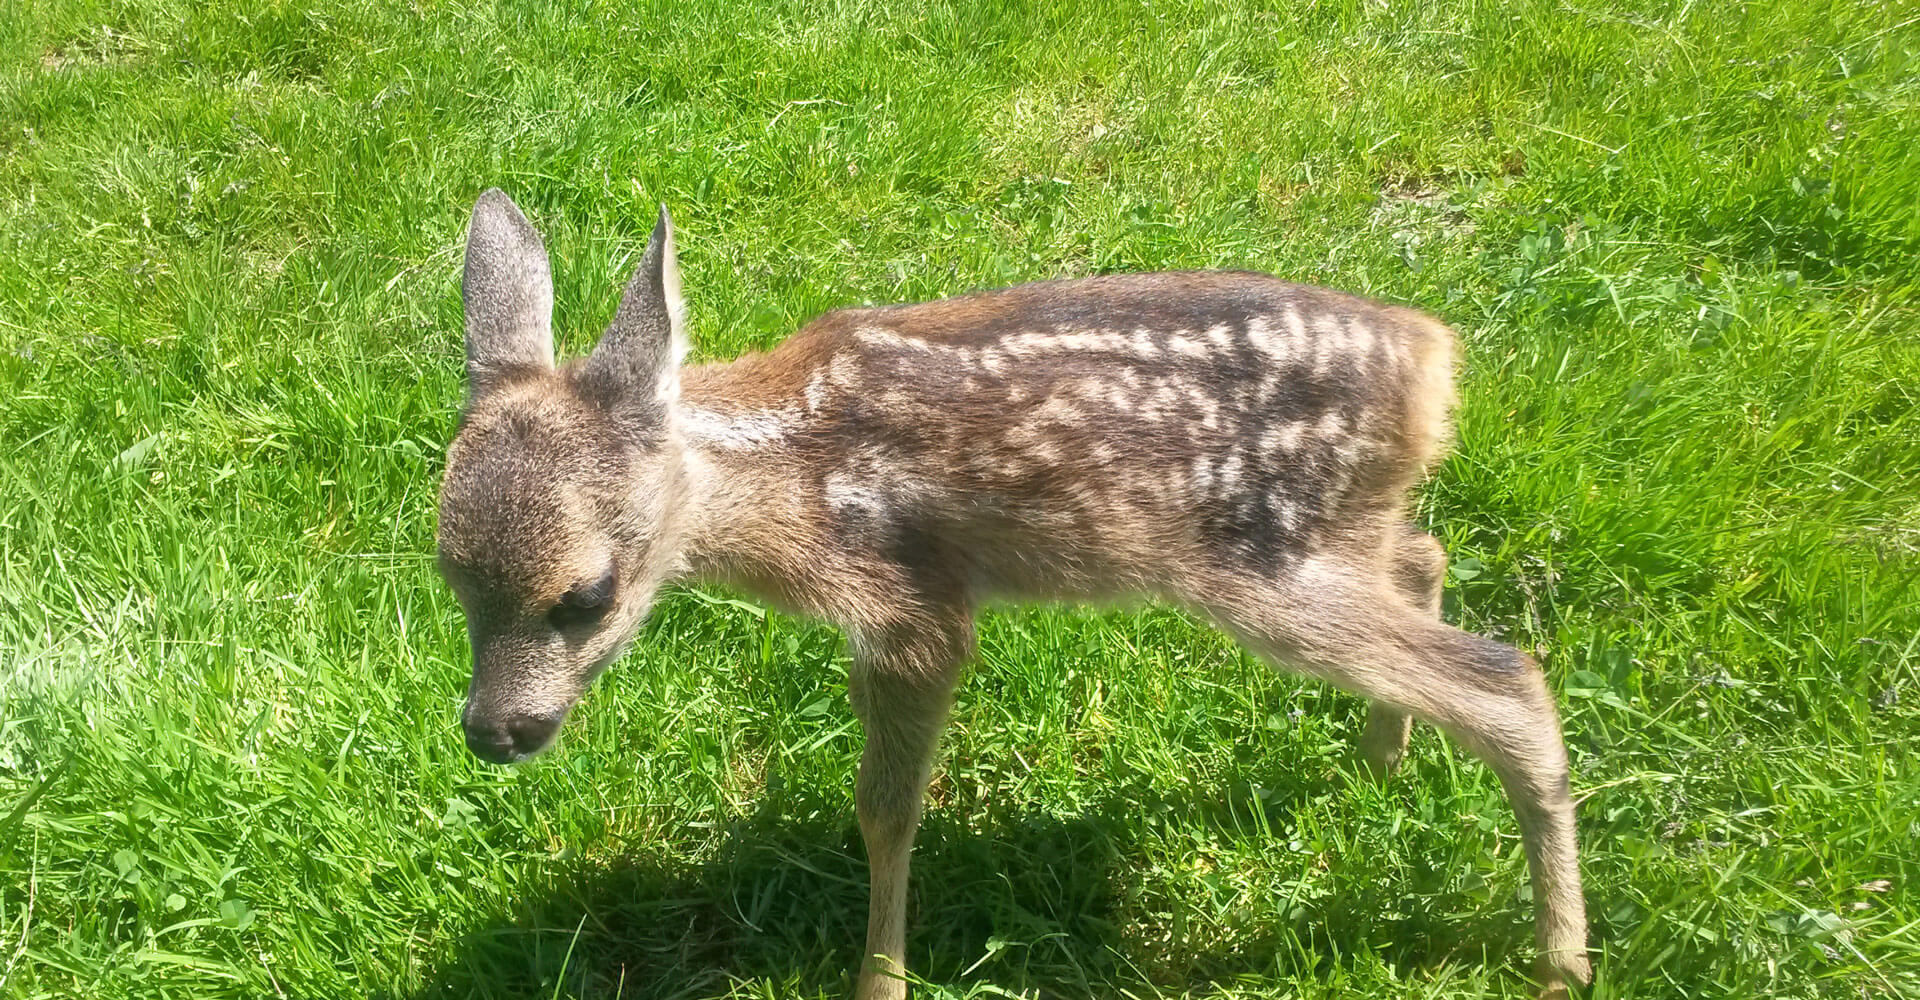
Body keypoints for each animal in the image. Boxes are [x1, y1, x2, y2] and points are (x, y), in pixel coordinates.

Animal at [441, 189, 1597, 998]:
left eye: (586, 595)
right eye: (451, 577)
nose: (495, 731)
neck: (786, 483)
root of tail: (1436, 361)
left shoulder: (913, 604)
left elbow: (886, 807)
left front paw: (880, 978)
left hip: (1263, 565)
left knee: (1508, 678)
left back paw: (1561, 962)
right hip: (1333, 537)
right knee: (1427, 557)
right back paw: (1381, 761)